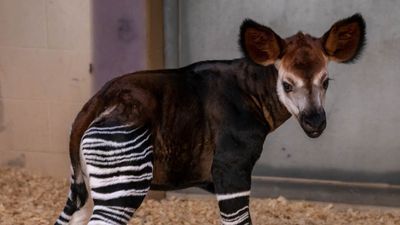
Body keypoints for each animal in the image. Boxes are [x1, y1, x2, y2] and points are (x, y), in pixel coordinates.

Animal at [55, 14, 366, 225]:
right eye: (287, 84)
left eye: (325, 82)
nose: (315, 123)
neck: (252, 93)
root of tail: (97, 101)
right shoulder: (232, 169)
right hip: (124, 181)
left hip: (87, 185)